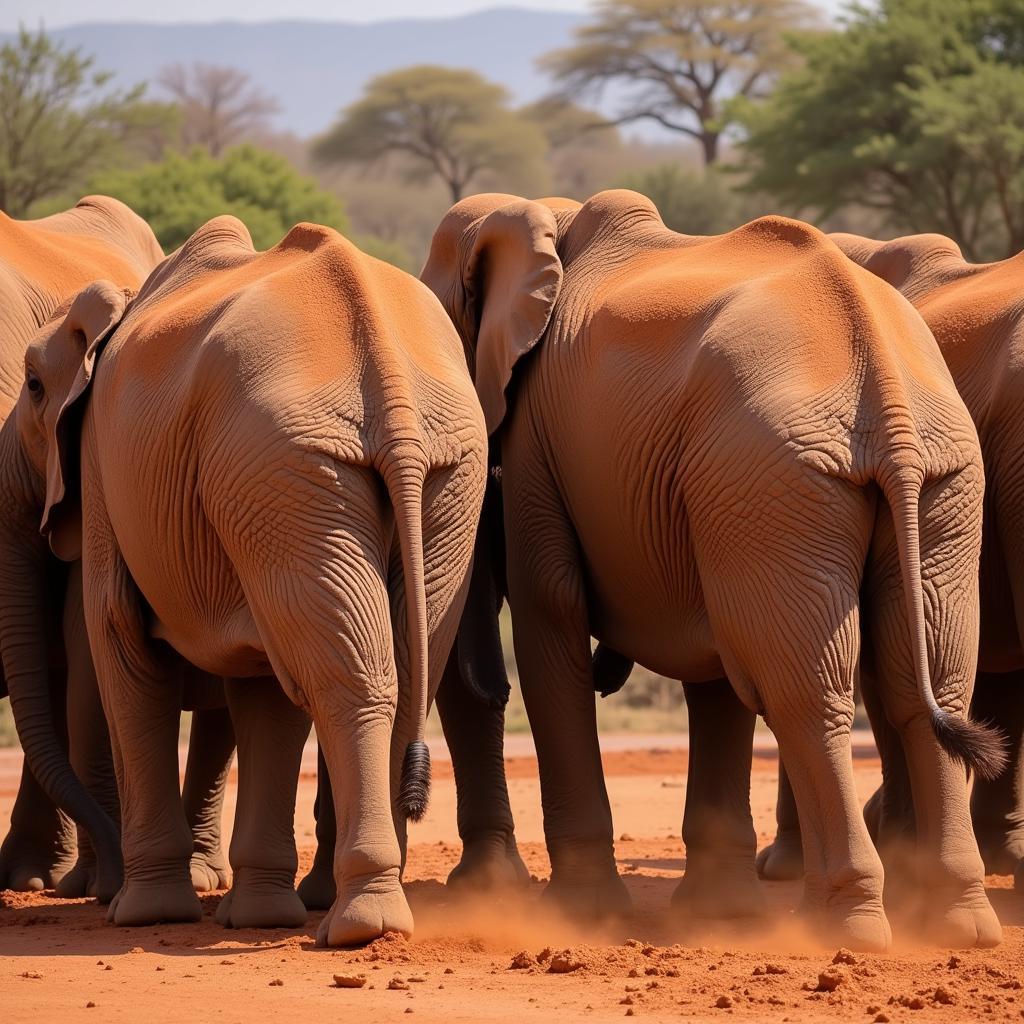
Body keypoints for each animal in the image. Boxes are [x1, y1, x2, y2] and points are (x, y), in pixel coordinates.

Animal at [11, 214, 483, 942]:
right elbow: (265, 684)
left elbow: (118, 634)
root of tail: (387, 371)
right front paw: (257, 918)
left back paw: (358, 926)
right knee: (388, 668)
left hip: (290, 460)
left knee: (340, 675)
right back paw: (370, 915)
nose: (89, 890)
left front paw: (144, 914)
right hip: (407, 469)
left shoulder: (99, 463)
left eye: (34, 385)